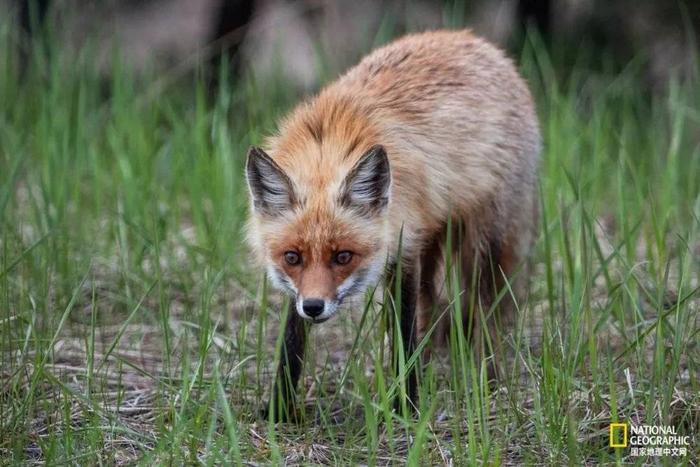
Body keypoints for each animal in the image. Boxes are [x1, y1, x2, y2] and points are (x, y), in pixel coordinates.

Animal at [246, 30, 540, 424]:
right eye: (292, 257)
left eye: (344, 256)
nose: (314, 307)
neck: (331, 142)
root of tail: (472, 39)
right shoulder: (301, 287)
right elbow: (290, 343)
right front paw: (280, 409)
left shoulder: (404, 246)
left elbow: (403, 331)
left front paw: (407, 405)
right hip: (435, 242)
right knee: (432, 305)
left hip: (481, 244)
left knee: (485, 310)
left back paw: (486, 376)